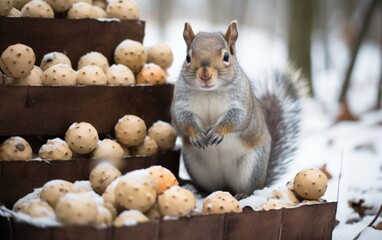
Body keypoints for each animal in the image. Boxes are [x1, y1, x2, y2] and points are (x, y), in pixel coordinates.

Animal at [172, 21, 302, 196]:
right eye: (188, 57)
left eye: (226, 56)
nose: (205, 75)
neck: (209, 92)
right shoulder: (181, 104)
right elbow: (182, 120)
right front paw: (196, 135)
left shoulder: (240, 103)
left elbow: (236, 119)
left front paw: (218, 131)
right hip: (197, 166)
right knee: (213, 187)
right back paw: (202, 191)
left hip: (251, 166)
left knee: (250, 188)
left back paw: (243, 194)